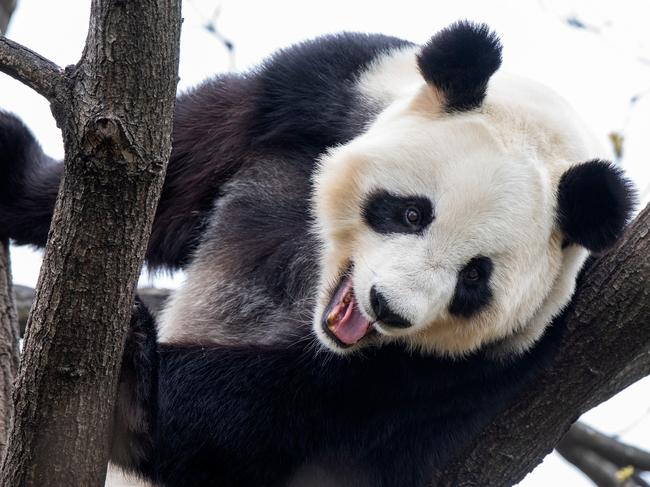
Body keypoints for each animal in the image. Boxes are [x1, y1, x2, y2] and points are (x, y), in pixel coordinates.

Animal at [0, 21, 632, 487]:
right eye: (412, 213)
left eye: (475, 278)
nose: (389, 308)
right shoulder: (323, 92)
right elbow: (174, 163)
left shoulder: (482, 367)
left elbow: (269, 418)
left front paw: (139, 382)